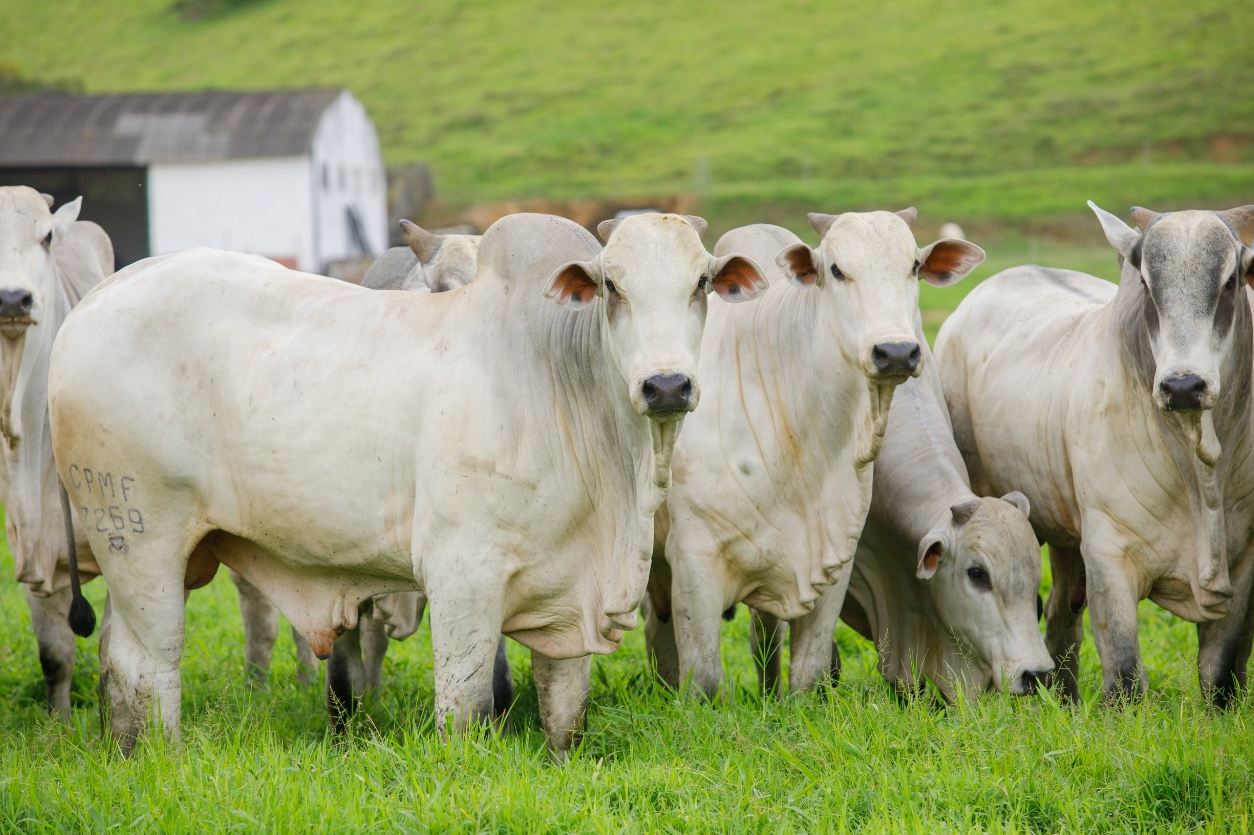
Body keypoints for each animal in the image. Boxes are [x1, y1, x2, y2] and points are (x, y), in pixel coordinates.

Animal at [48, 211, 767, 752]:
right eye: (612, 284)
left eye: (702, 281)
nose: (667, 385)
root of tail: (94, 304)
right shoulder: (463, 577)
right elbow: (469, 709)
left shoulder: (570, 594)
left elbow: (566, 715)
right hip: (139, 537)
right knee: (147, 662)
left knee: (116, 657)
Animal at [647, 211, 988, 692]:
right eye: (837, 270)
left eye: (914, 266)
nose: (896, 352)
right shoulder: (695, 564)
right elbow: (706, 678)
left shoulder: (832, 562)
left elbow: (808, 671)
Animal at [937, 201, 1254, 702]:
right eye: (1146, 283)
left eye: (1230, 281)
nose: (1183, 385)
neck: (1200, 469)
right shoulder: (1108, 551)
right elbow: (1124, 674)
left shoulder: (1243, 565)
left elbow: (1219, 671)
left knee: (1062, 616)